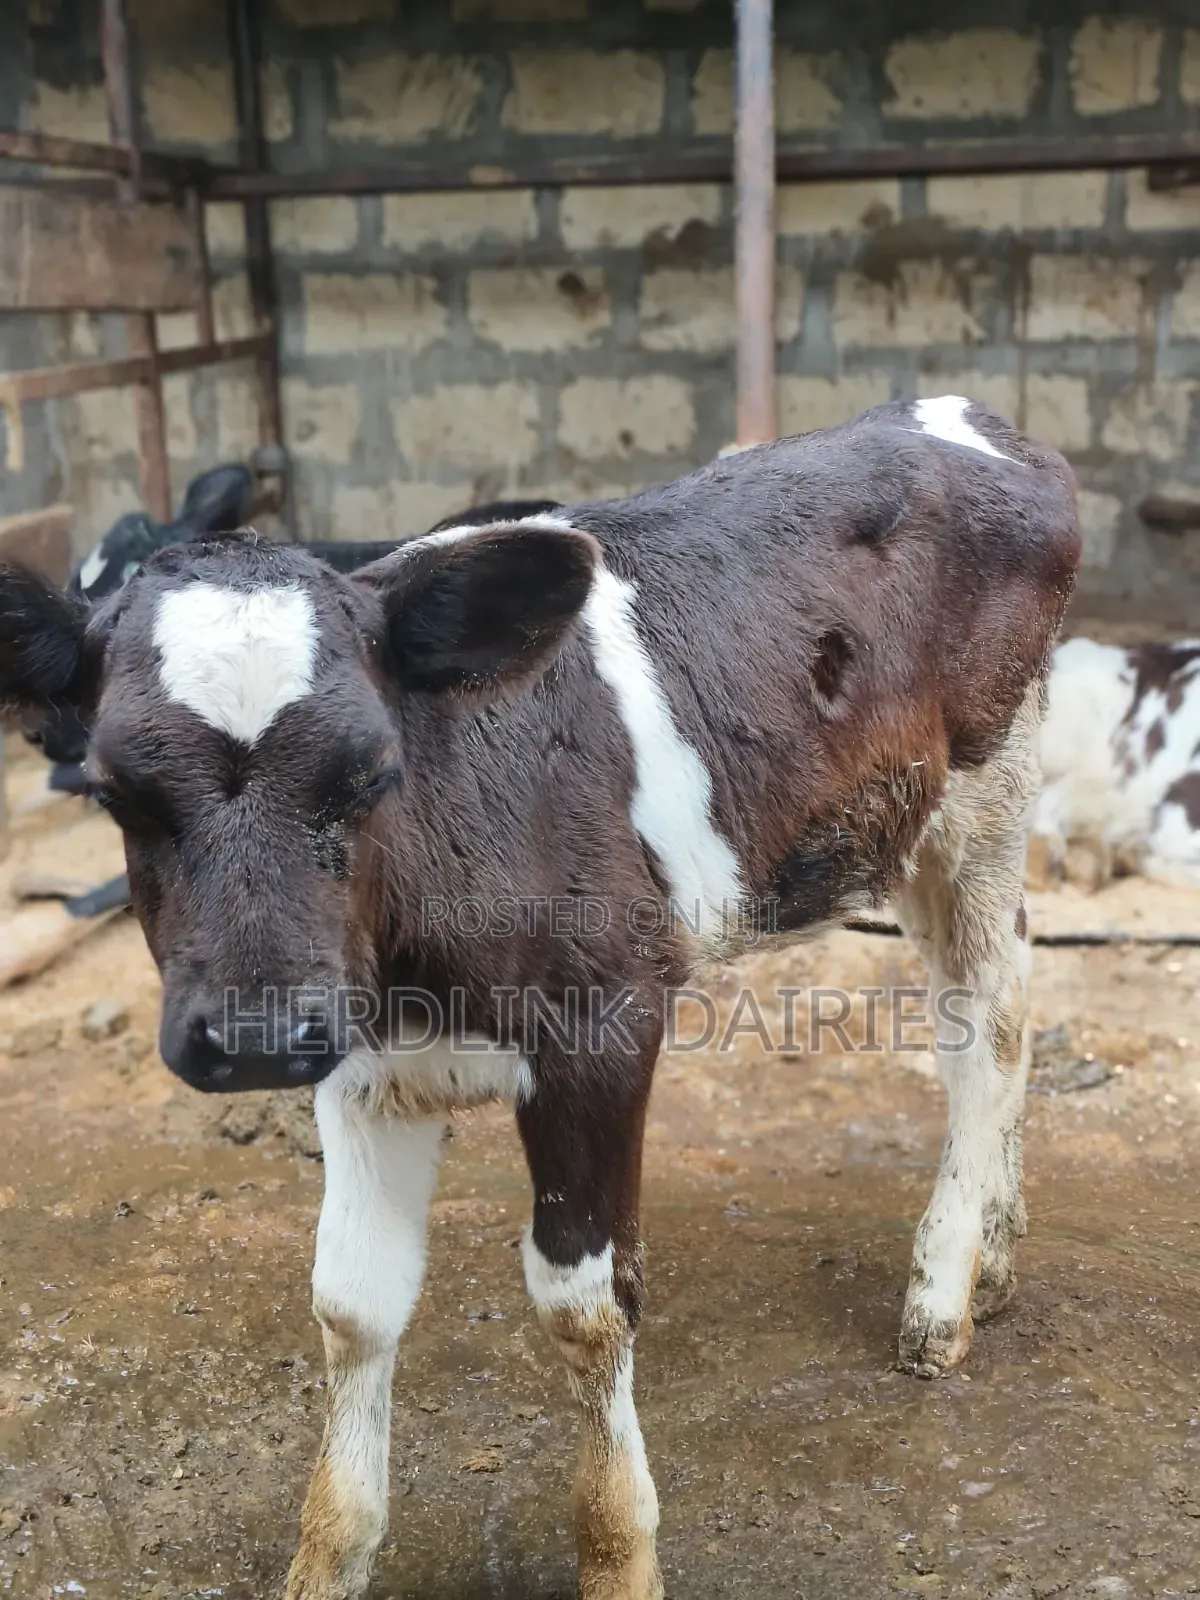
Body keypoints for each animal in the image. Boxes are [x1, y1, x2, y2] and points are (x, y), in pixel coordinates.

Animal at [0, 397, 1080, 1600]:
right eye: (116, 792)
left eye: (372, 771)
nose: (255, 1033)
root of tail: (956, 412)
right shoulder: (361, 1061)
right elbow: (351, 1303)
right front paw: (327, 1557)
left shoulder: (604, 1027)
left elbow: (586, 1307)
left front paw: (618, 1555)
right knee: (996, 996)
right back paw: (994, 1252)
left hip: (984, 788)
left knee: (990, 1021)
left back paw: (942, 1290)